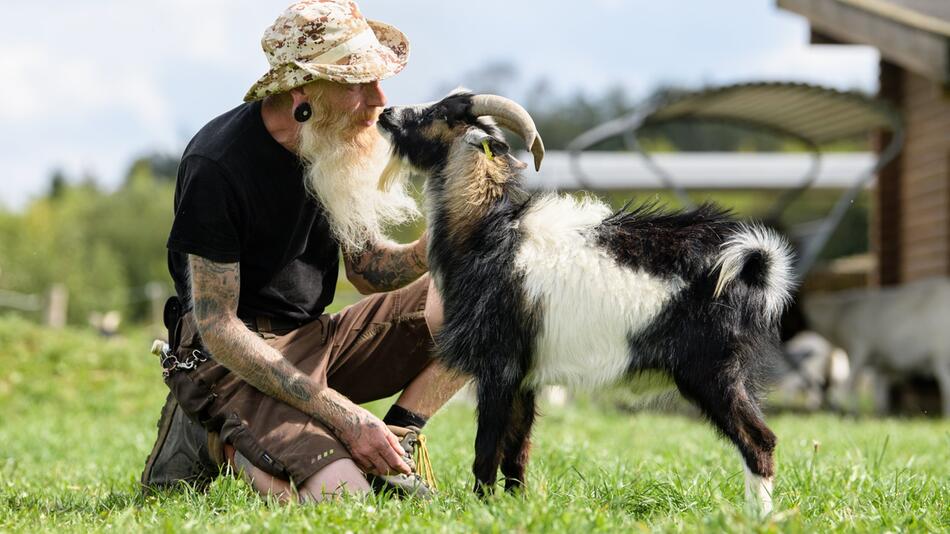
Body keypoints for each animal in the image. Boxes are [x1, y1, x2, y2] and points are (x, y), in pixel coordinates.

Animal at [376, 92, 800, 516]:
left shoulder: (499, 365)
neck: (489, 233)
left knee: (759, 440)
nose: (386, 113)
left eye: (441, 113)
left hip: (713, 369)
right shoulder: (527, 376)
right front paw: (516, 506)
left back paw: (759, 517)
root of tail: (755, 267)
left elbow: (486, 448)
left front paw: (482, 507)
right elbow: (517, 450)